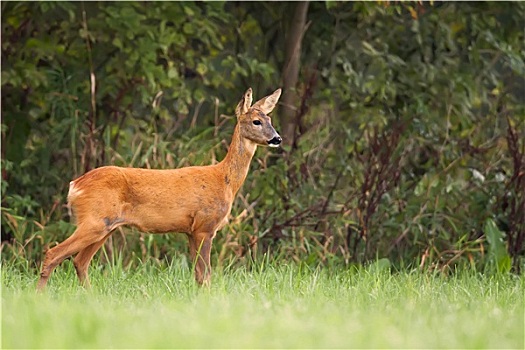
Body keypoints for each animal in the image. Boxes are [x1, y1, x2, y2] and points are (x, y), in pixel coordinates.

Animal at [35, 87, 282, 290]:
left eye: (270, 118)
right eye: (256, 121)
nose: (277, 138)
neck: (224, 180)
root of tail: (74, 185)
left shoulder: (191, 230)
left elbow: (198, 275)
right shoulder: (205, 226)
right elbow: (206, 275)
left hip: (105, 226)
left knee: (79, 262)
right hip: (94, 220)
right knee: (53, 254)